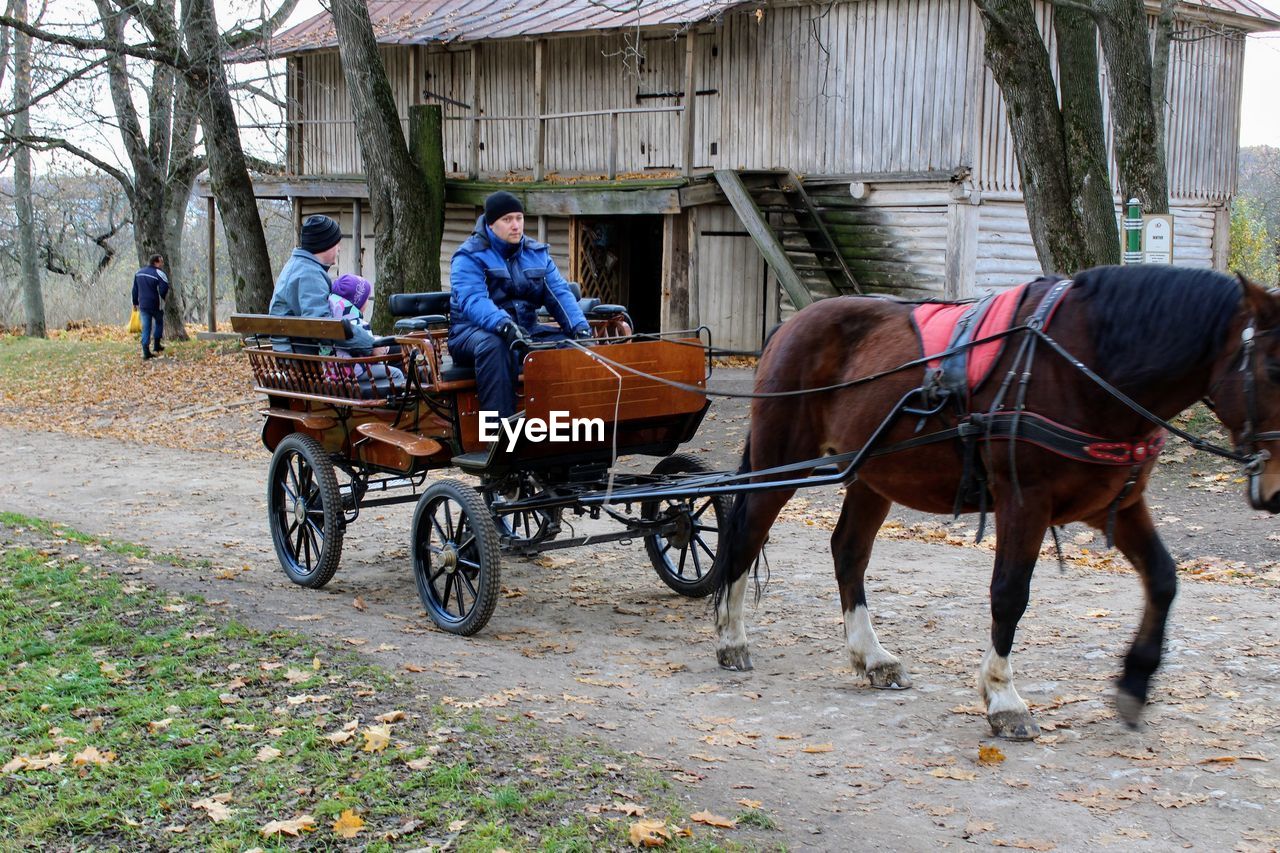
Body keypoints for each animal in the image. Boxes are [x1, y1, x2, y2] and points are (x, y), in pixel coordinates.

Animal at [711, 266, 1280, 737]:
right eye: (1271, 370)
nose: (1274, 490)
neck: (1085, 361)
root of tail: (790, 325)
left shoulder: (1116, 504)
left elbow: (1162, 579)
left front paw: (1135, 681)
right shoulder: (1024, 503)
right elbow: (1010, 594)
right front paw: (1004, 698)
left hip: (872, 476)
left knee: (848, 551)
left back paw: (871, 656)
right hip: (782, 463)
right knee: (747, 535)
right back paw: (732, 639)